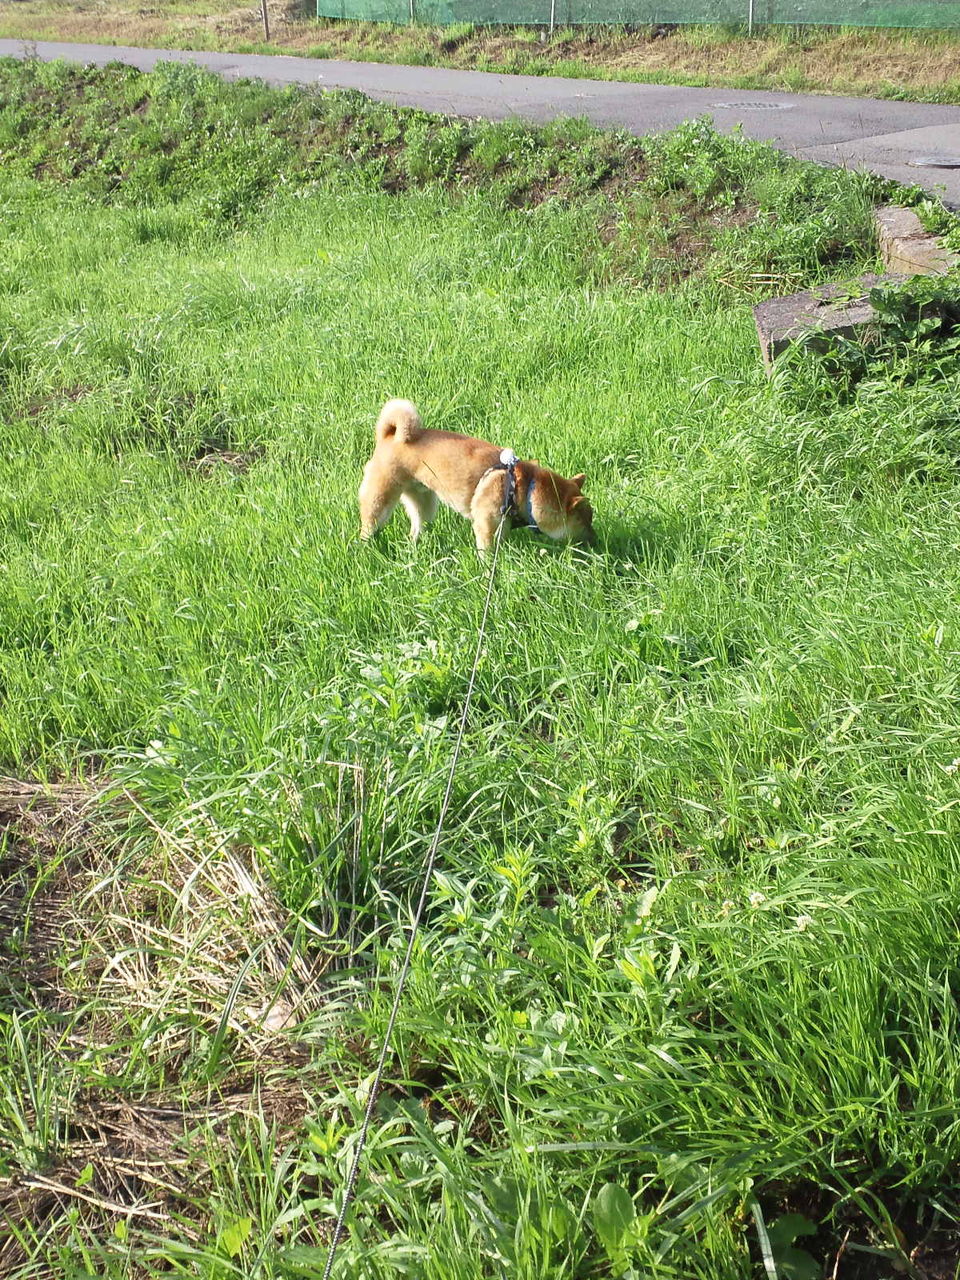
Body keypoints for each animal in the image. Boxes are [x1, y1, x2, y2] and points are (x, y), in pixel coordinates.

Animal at [359, 399, 594, 553]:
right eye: (584, 522)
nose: (596, 539)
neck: (524, 487)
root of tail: (390, 437)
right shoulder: (485, 524)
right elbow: (486, 551)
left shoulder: (502, 524)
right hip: (380, 499)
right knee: (369, 524)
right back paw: (366, 548)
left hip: (424, 501)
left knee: (417, 525)